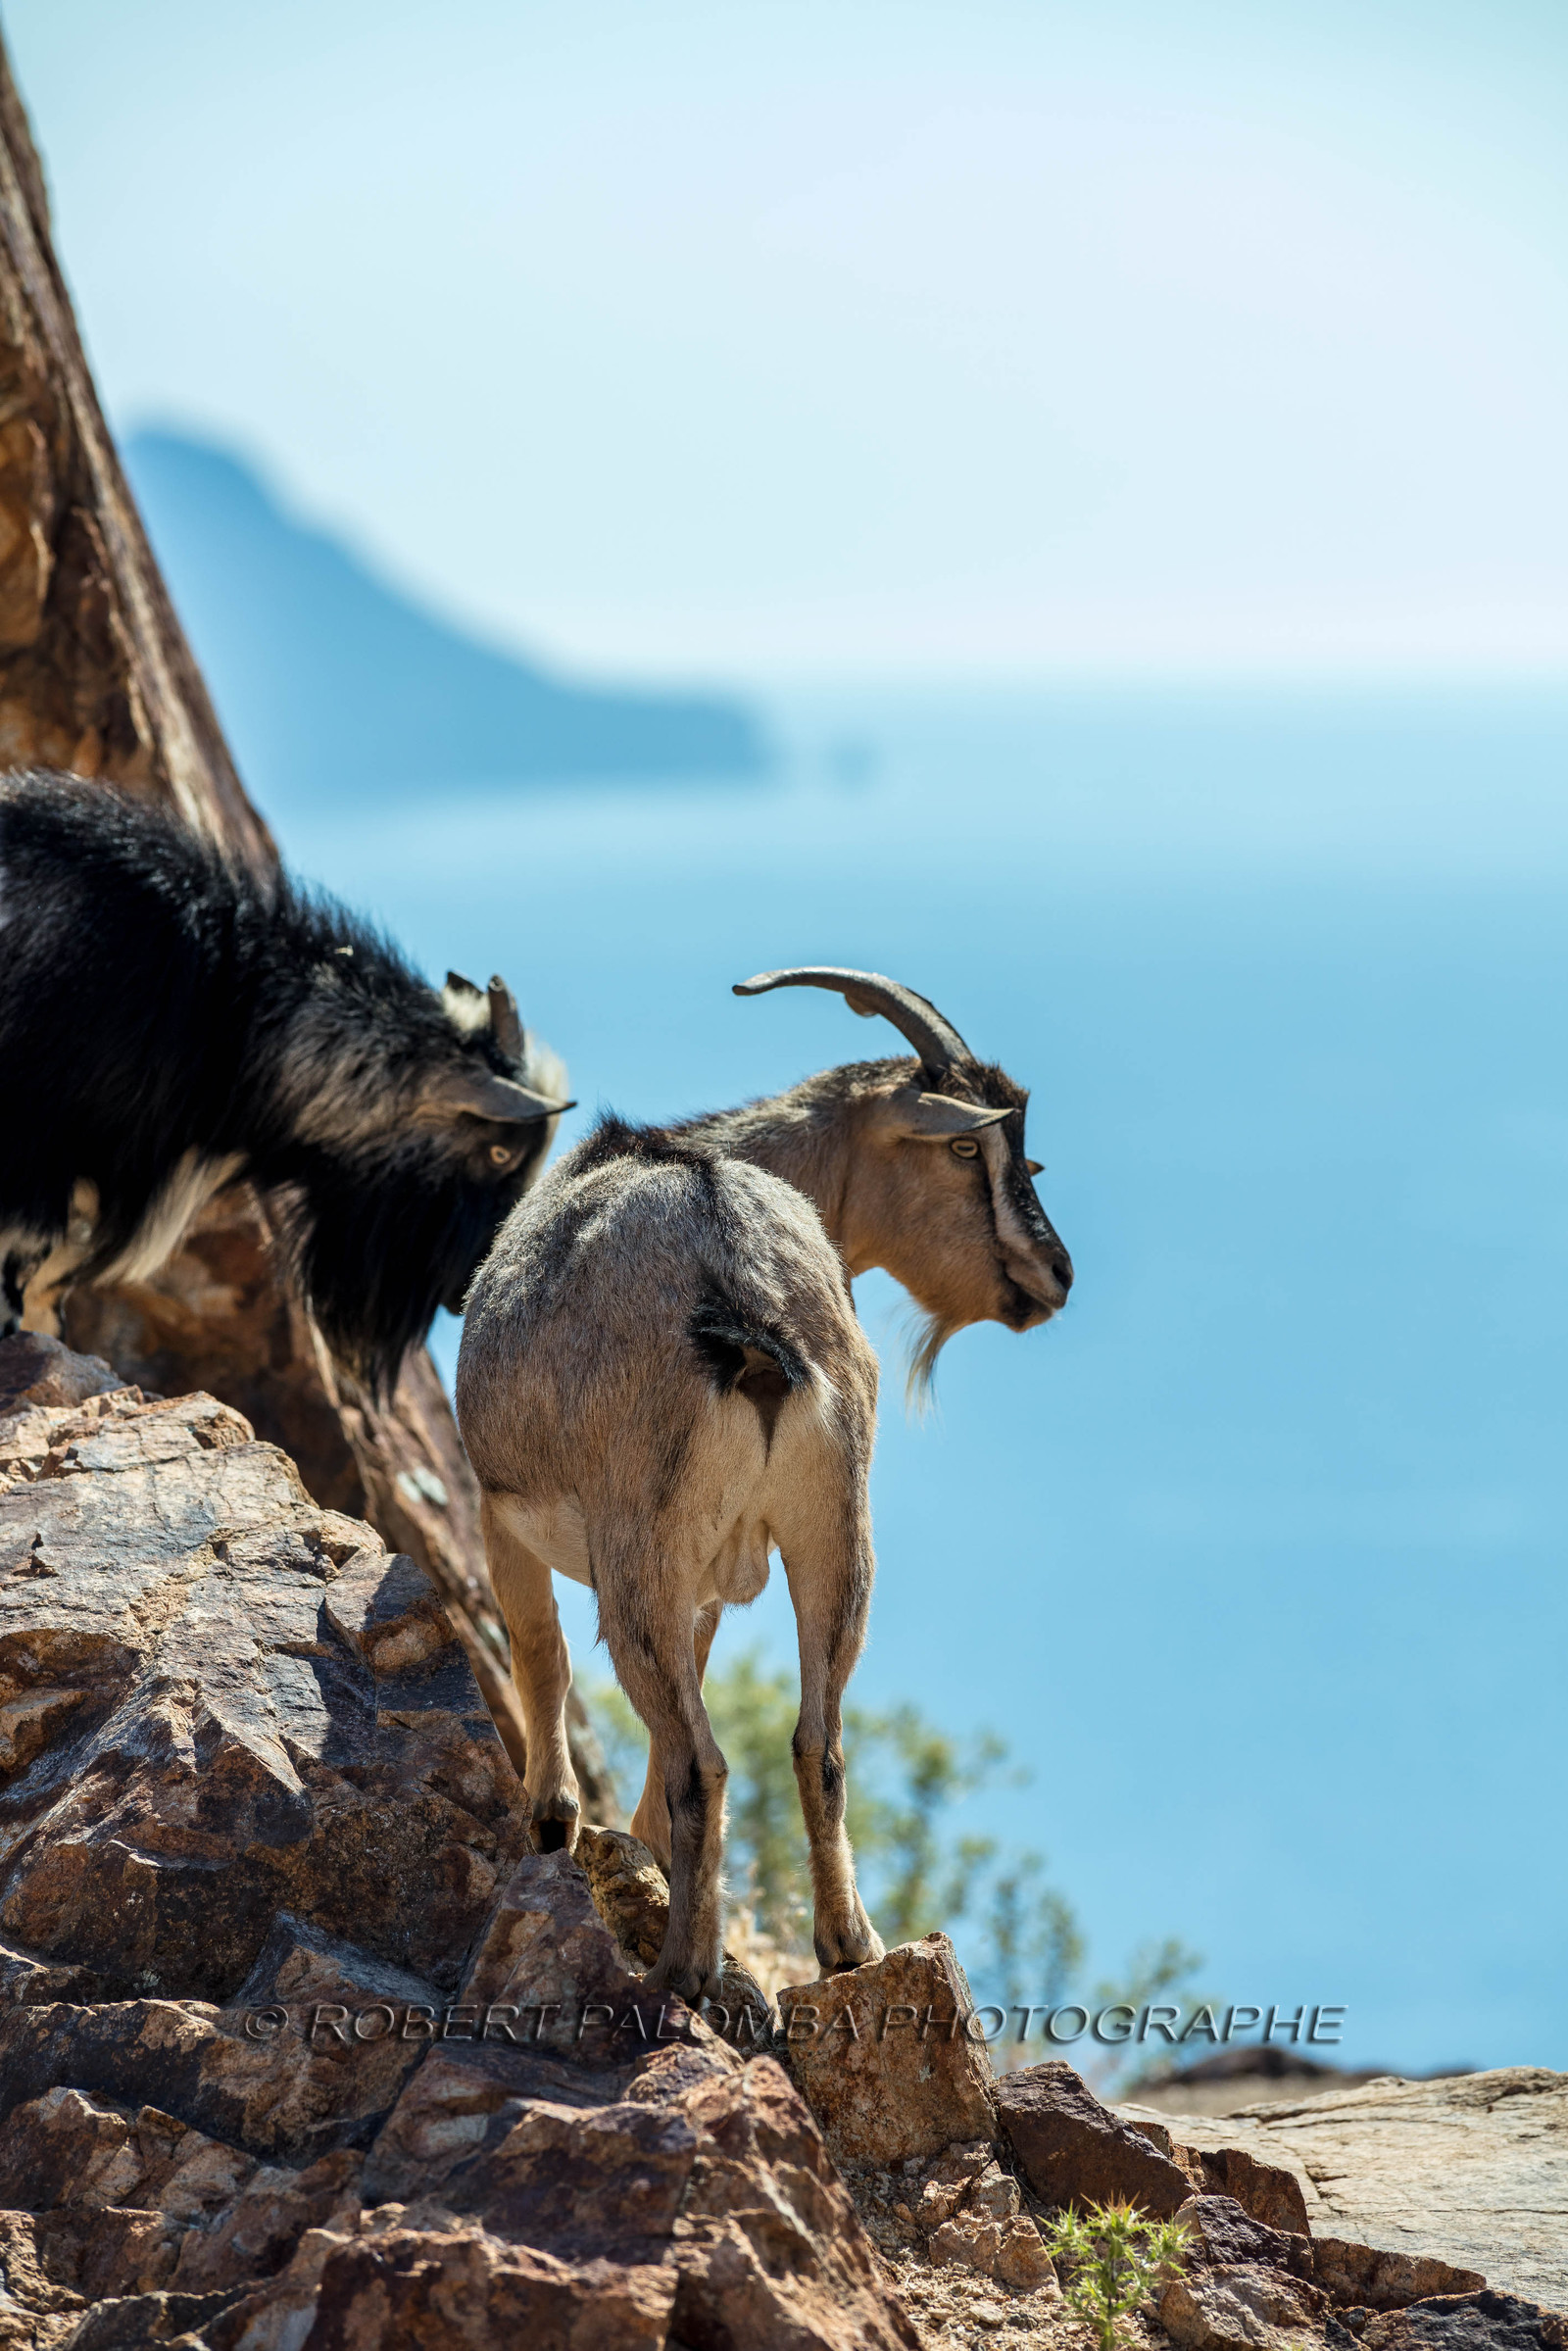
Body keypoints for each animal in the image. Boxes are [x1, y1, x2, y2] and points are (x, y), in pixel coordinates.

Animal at [455, 966, 1073, 2000]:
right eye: (963, 1145)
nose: (1057, 1274)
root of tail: (740, 1293)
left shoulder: (504, 1513)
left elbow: (542, 1654)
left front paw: (551, 1822)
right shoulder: (707, 1575)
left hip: (639, 1549)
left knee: (701, 1758)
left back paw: (681, 1970)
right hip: (836, 1526)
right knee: (817, 1741)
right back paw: (847, 1945)